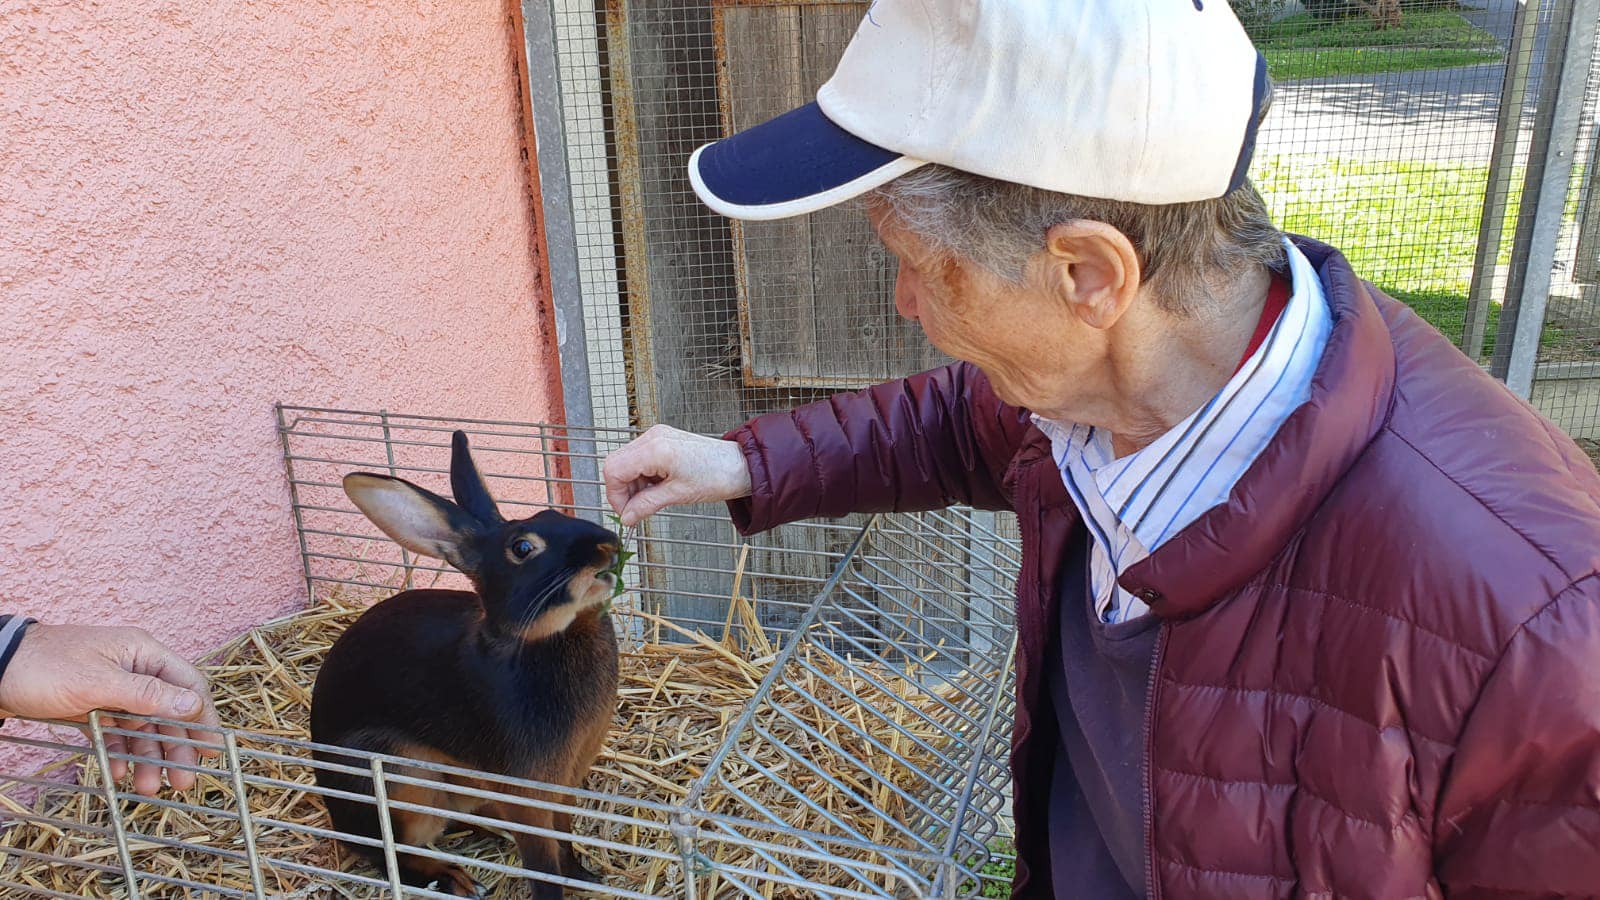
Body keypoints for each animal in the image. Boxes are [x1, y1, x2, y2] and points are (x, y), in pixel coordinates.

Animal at [308, 432, 620, 890]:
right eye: (522, 548)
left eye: (552, 512)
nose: (607, 545)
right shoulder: (527, 792)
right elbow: (543, 863)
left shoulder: (565, 783)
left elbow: (564, 839)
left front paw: (585, 878)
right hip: (399, 778)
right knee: (392, 855)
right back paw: (456, 881)